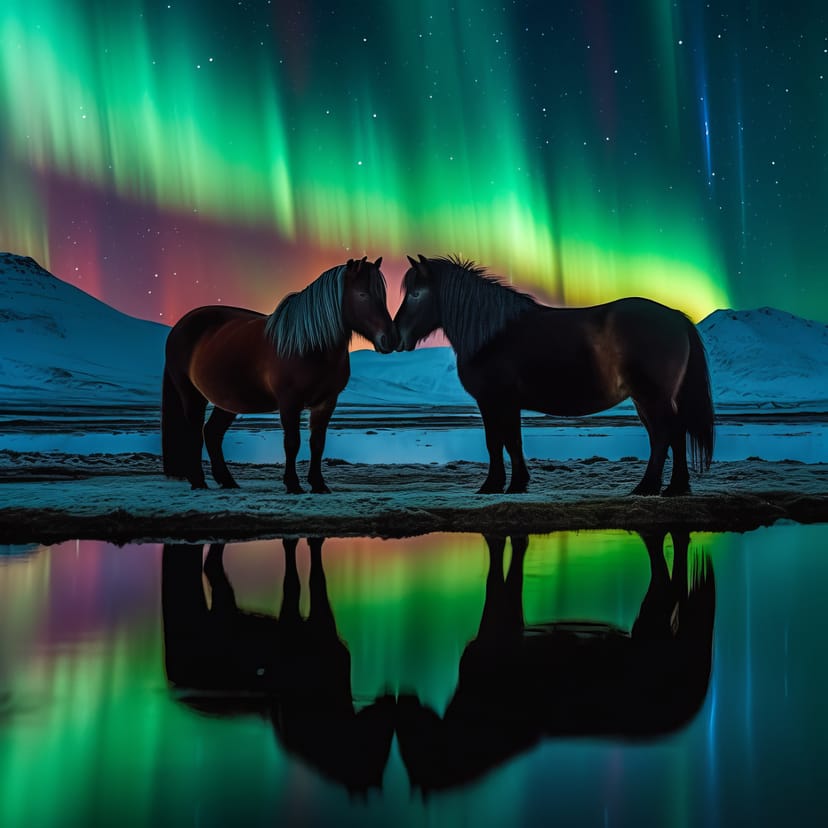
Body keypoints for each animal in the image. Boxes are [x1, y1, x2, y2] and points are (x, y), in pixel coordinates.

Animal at [162, 256, 395, 493]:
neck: (309, 345)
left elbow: (317, 443)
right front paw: (293, 484)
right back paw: (198, 482)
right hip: (192, 395)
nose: (390, 339)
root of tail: (181, 325)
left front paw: (318, 484)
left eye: (383, 296)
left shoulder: (327, 402)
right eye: (362, 294)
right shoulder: (289, 402)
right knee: (193, 434)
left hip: (228, 401)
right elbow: (292, 443)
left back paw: (227, 481)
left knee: (212, 433)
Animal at [394, 254, 715, 495]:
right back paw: (675, 488)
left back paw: (646, 487)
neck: (491, 336)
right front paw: (517, 484)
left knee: (664, 434)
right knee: (673, 433)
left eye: (416, 294)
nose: (395, 337)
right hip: (649, 399)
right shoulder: (506, 404)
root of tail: (675, 316)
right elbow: (512, 441)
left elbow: (497, 442)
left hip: (651, 397)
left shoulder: (493, 401)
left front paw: (493, 485)